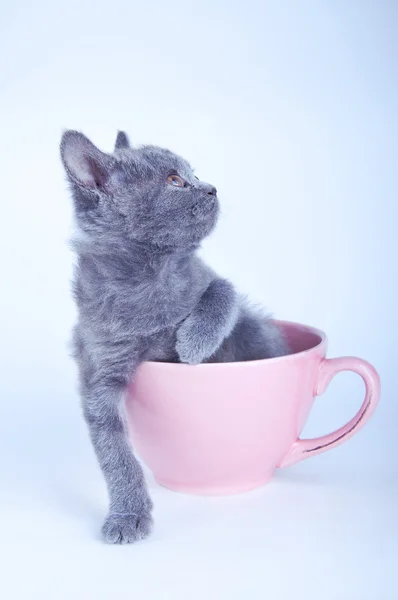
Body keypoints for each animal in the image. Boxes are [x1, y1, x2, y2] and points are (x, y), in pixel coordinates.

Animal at [59, 131, 288, 544]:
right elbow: (115, 453)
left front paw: (193, 341)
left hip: (255, 331)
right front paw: (127, 515)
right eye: (174, 181)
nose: (211, 187)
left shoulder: (210, 279)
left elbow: (223, 290)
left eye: (193, 174)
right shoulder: (100, 370)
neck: (151, 274)